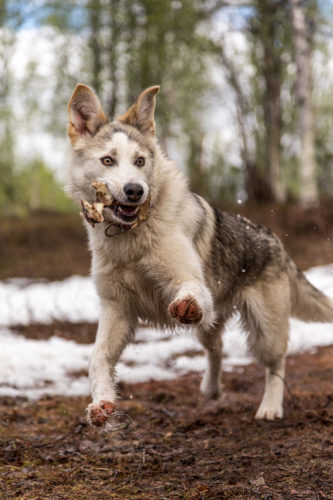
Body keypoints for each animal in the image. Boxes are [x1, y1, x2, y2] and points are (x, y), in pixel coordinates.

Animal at [66, 83, 330, 426]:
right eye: (108, 160)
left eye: (140, 161)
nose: (136, 190)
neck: (131, 237)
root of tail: (274, 239)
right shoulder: (117, 309)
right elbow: (97, 358)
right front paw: (101, 404)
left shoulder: (188, 280)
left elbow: (190, 291)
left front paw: (186, 302)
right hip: (210, 324)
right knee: (216, 348)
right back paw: (211, 389)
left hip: (265, 329)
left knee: (276, 363)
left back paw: (271, 407)